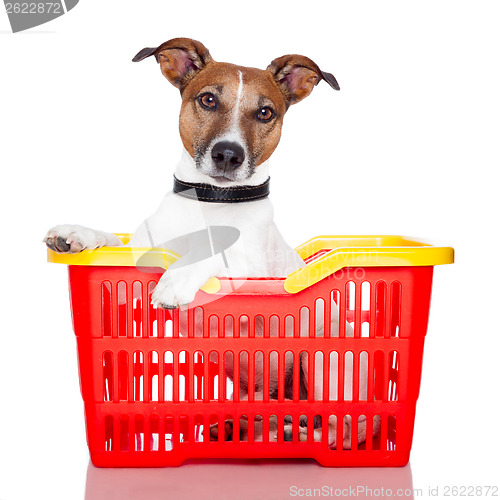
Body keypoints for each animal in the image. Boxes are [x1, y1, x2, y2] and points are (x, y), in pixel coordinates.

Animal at [46, 36, 376, 450]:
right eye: (207, 100)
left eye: (265, 112)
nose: (228, 154)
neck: (211, 200)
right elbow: (113, 241)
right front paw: (77, 234)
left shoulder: (252, 273)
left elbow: (213, 253)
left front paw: (175, 281)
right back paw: (246, 426)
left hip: (324, 355)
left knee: (337, 429)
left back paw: (287, 432)